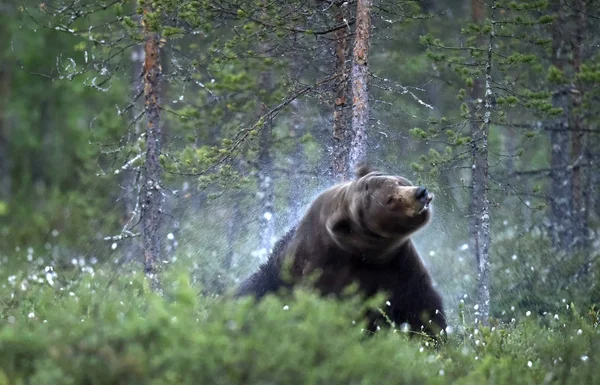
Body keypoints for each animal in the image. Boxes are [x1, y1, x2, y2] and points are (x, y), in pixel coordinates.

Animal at [234, 164, 446, 338]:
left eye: (400, 182)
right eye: (390, 199)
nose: (420, 192)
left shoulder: (399, 267)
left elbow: (423, 310)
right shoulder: (325, 270)